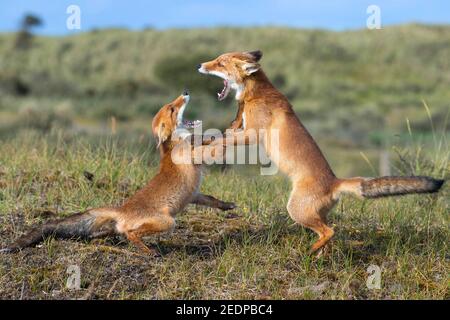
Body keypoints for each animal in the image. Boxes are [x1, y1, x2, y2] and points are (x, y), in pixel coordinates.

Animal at [0, 92, 236, 255]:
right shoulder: (195, 157)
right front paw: (231, 133)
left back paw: (99, 237)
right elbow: (216, 146)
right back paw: (149, 252)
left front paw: (227, 206)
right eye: (171, 108)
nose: (185, 92)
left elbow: (212, 199)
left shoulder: (194, 195)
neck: (176, 143)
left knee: (110, 231)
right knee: (131, 233)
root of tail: (122, 209)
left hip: (123, 226)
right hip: (168, 222)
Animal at [199, 51, 444, 254]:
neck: (256, 94)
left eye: (220, 63)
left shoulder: (252, 134)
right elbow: (221, 136)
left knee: (329, 231)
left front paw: (205, 147)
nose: (199, 65)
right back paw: (319, 253)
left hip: (295, 210)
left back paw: (308, 253)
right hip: (313, 213)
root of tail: (335, 181)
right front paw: (203, 142)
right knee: (328, 231)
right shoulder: (242, 129)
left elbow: (222, 139)